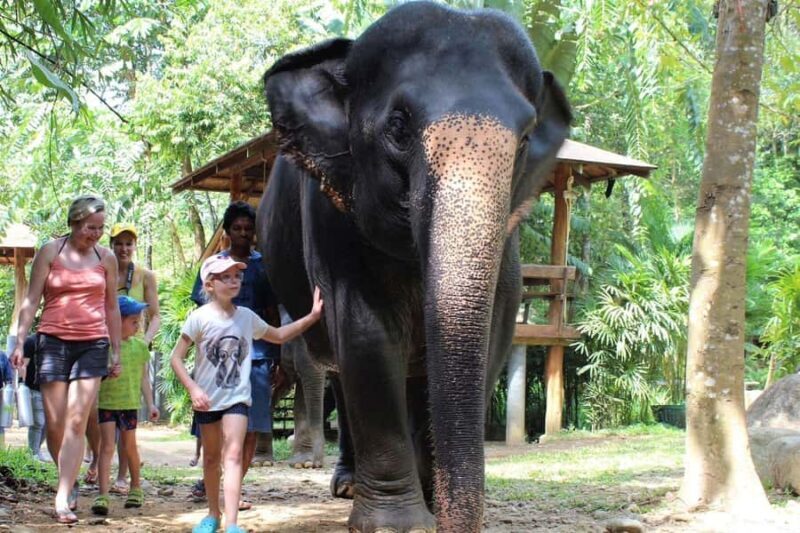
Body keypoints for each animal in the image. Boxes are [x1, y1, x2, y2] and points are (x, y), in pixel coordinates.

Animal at [256, 2, 571, 532]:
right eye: (400, 128)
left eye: (526, 138)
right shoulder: (334, 217)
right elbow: (367, 336)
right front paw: (396, 524)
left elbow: (493, 335)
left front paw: (430, 503)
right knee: (341, 375)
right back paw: (347, 485)